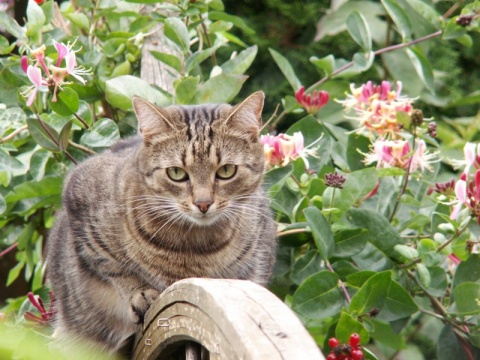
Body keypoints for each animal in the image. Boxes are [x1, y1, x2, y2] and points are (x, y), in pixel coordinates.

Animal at [46, 91, 278, 352]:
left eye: (226, 170)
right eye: (176, 173)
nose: (203, 203)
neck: (192, 248)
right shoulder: (79, 202)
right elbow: (114, 267)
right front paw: (140, 293)